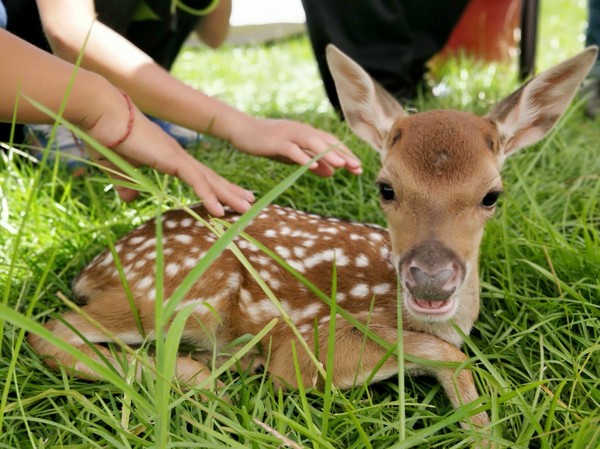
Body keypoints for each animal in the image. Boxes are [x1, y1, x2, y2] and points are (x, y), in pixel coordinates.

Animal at [30, 43, 596, 442]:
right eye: (386, 187)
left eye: (491, 195)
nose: (431, 276)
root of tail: (96, 265)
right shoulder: (309, 344)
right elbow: (446, 355)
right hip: (179, 291)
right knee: (53, 330)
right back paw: (205, 377)